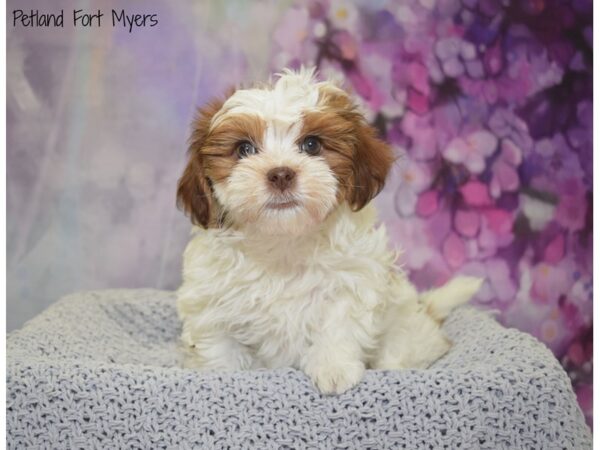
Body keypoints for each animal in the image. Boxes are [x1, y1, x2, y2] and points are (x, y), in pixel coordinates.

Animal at [175, 67, 482, 394]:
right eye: (244, 149)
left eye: (311, 145)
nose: (280, 174)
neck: (284, 242)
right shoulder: (210, 300)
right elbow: (219, 344)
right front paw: (221, 376)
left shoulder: (353, 282)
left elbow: (339, 326)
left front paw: (334, 369)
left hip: (406, 328)